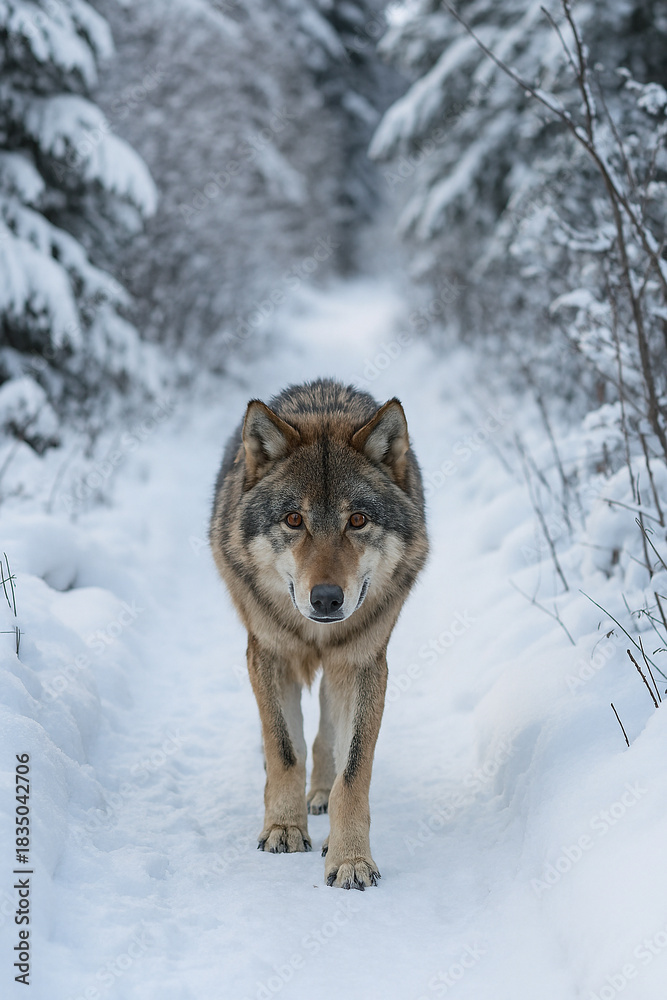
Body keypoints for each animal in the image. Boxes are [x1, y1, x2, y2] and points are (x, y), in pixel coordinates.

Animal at [209, 379, 428, 889]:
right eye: (294, 519)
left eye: (357, 520)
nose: (326, 599)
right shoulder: (267, 654)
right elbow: (285, 749)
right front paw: (284, 828)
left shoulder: (364, 663)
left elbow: (353, 770)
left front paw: (350, 858)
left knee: (327, 730)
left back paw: (322, 795)